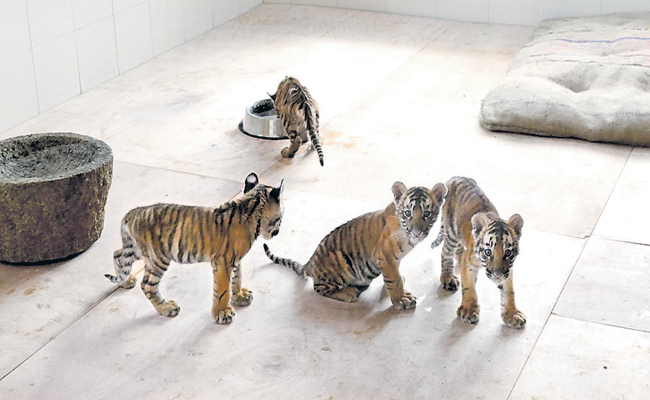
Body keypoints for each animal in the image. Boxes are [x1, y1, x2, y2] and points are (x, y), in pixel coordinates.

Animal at [104, 172, 284, 325]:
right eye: (281, 217)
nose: (278, 231)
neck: (251, 205)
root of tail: (132, 213)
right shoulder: (223, 261)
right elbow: (223, 289)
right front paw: (222, 312)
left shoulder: (235, 259)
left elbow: (237, 277)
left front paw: (240, 296)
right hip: (158, 258)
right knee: (147, 285)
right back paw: (166, 307)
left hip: (138, 251)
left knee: (117, 254)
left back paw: (126, 281)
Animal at [263, 180, 446, 309]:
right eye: (408, 213)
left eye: (427, 214)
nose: (417, 233)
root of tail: (311, 262)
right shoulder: (385, 257)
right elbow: (394, 280)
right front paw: (401, 299)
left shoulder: (394, 259)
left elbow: (394, 276)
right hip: (337, 264)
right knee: (319, 288)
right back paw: (348, 293)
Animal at [431, 176, 526, 329]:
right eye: (488, 252)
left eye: (507, 253)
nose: (497, 274)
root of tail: (455, 177)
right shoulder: (469, 264)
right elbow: (468, 287)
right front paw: (468, 311)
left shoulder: (508, 270)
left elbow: (509, 292)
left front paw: (512, 315)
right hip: (451, 233)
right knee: (445, 253)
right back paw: (448, 278)